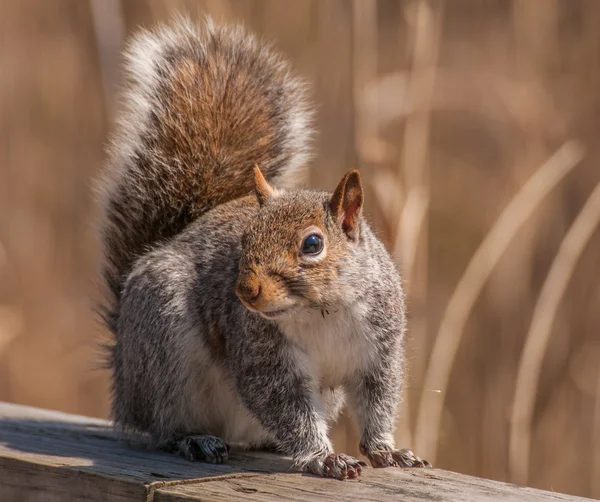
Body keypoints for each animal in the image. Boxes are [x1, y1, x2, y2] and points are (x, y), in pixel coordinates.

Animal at [96, 17, 428, 480]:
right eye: (244, 239)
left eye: (313, 244)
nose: (245, 291)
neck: (320, 311)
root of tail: (123, 372)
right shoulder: (262, 356)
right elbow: (286, 407)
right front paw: (324, 456)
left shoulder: (380, 352)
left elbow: (378, 402)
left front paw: (386, 450)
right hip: (161, 351)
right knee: (163, 426)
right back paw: (194, 439)